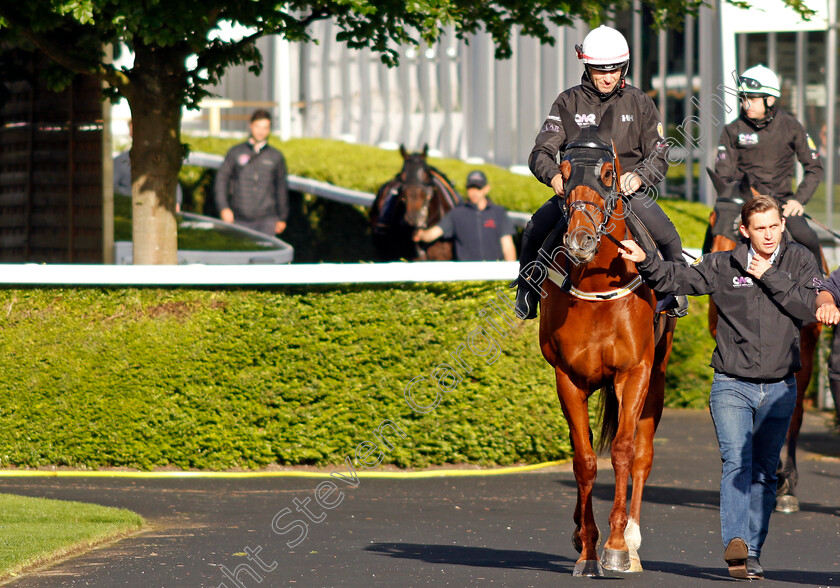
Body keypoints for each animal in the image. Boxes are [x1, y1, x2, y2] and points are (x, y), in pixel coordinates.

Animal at [540, 104, 680, 576]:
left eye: (607, 172)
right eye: (564, 172)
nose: (580, 239)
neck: (599, 286)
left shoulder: (634, 372)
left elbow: (622, 451)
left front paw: (617, 545)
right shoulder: (568, 378)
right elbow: (583, 460)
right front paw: (587, 549)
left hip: (657, 378)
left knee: (642, 453)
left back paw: (632, 541)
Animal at [704, 169, 824, 516]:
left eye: (736, 223)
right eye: (711, 218)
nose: (714, 258)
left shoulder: (801, 356)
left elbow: (791, 412)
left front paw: (786, 483)